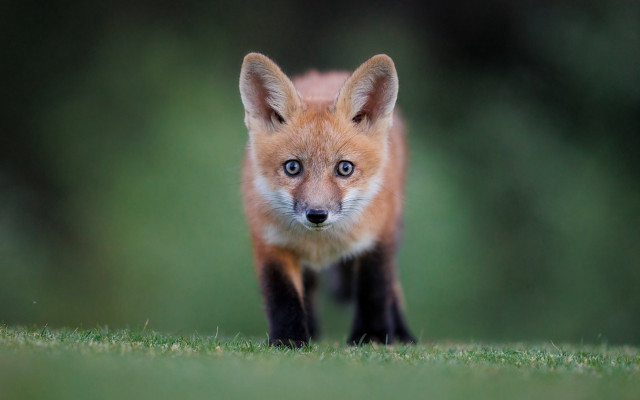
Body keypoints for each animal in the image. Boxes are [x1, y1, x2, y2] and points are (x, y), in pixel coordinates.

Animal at [239, 52, 416, 347]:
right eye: (292, 167)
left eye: (345, 168)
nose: (317, 214)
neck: (321, 244)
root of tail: (328, 74)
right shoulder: (269, 242)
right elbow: (282, 296)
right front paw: (289, 339)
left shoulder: (378, 238)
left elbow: (374, 289)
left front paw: (372, 336)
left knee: (393, 286)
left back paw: (402, 332)